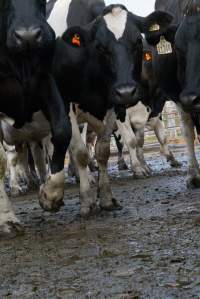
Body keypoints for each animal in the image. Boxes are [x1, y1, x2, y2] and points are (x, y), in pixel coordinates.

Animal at [46, 0, 174, 217]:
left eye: (137, 42)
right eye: (99, 47)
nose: (126, 91)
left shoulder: (115, 106)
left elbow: (105, 151)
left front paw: (106, 198)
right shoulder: (66, 106)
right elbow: (81, 152)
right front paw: (87, 201)